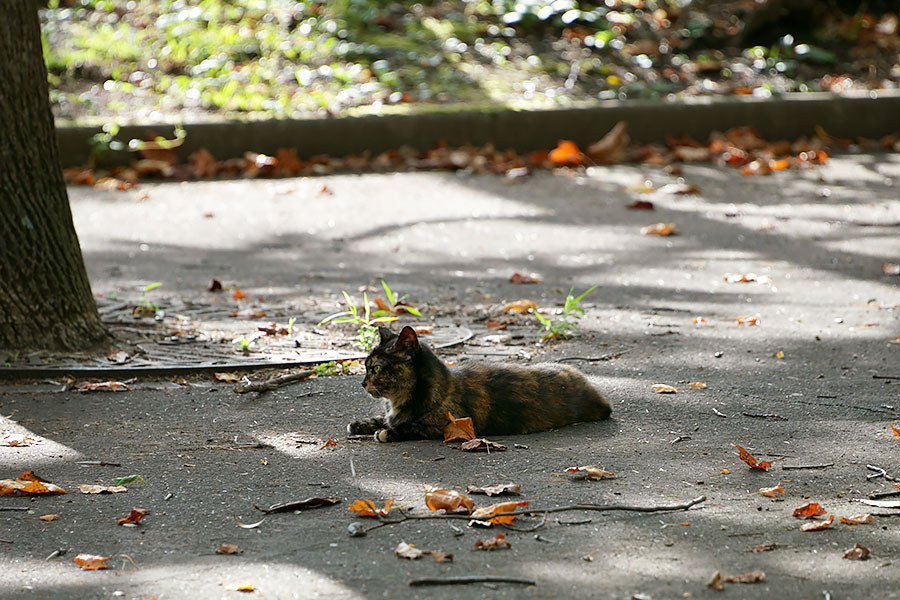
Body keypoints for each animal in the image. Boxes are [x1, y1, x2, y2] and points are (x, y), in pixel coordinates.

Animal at [346, 326, 612, 442]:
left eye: (375, 369)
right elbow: (381, 419)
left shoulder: (451, 425)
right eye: (365, 366)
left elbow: (411, 426)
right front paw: (360, 424)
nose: (362, 383)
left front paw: (385, 432)